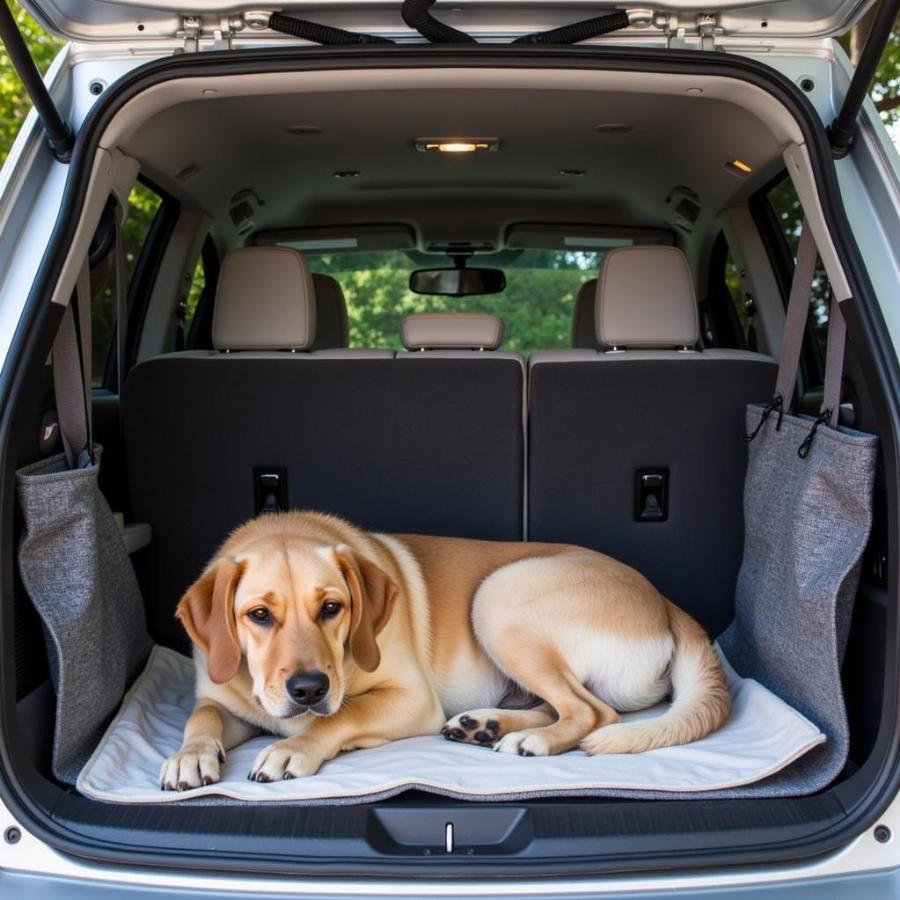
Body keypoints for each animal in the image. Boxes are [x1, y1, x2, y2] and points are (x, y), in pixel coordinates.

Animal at [160, 510, 732, 792]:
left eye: (332, 608)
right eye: (258, 615)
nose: (308, 690)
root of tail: (663, 601)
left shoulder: (412, 699)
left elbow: (340, 717)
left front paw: (292, 749)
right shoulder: (223, 701)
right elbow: (201, 718)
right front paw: (189, 757)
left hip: (499, 598)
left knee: (592, 711)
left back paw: (532, 742)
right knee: (560, 706)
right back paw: (487, 726)